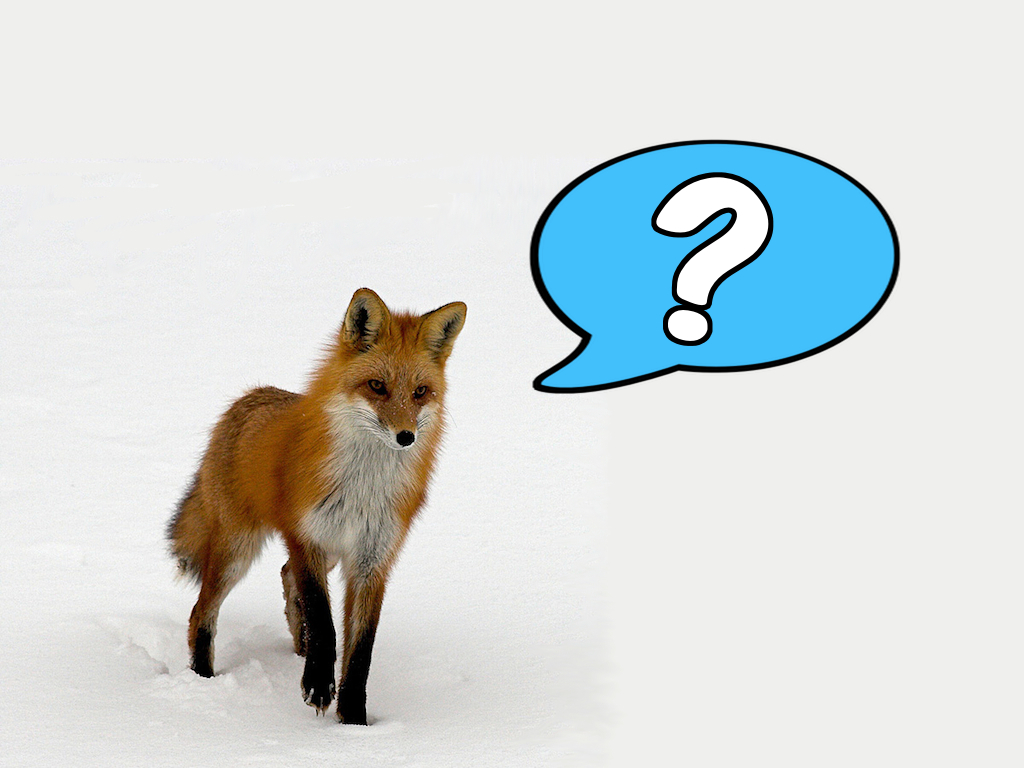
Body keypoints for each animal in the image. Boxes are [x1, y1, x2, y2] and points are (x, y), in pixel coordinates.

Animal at [166, 288, 466, 724]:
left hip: (325, 555)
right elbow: (324, 623)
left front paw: (354, 719)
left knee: (285, 575)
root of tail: (248, 398)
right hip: (238, 550)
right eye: (377, 386)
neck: (363, 487)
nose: (405, 436)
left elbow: (361, 647)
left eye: (420, 392)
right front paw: (319, 687)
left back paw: (299, 647)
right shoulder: (306, 535)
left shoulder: (372, 558)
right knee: (201, 613)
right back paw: (203, 679)